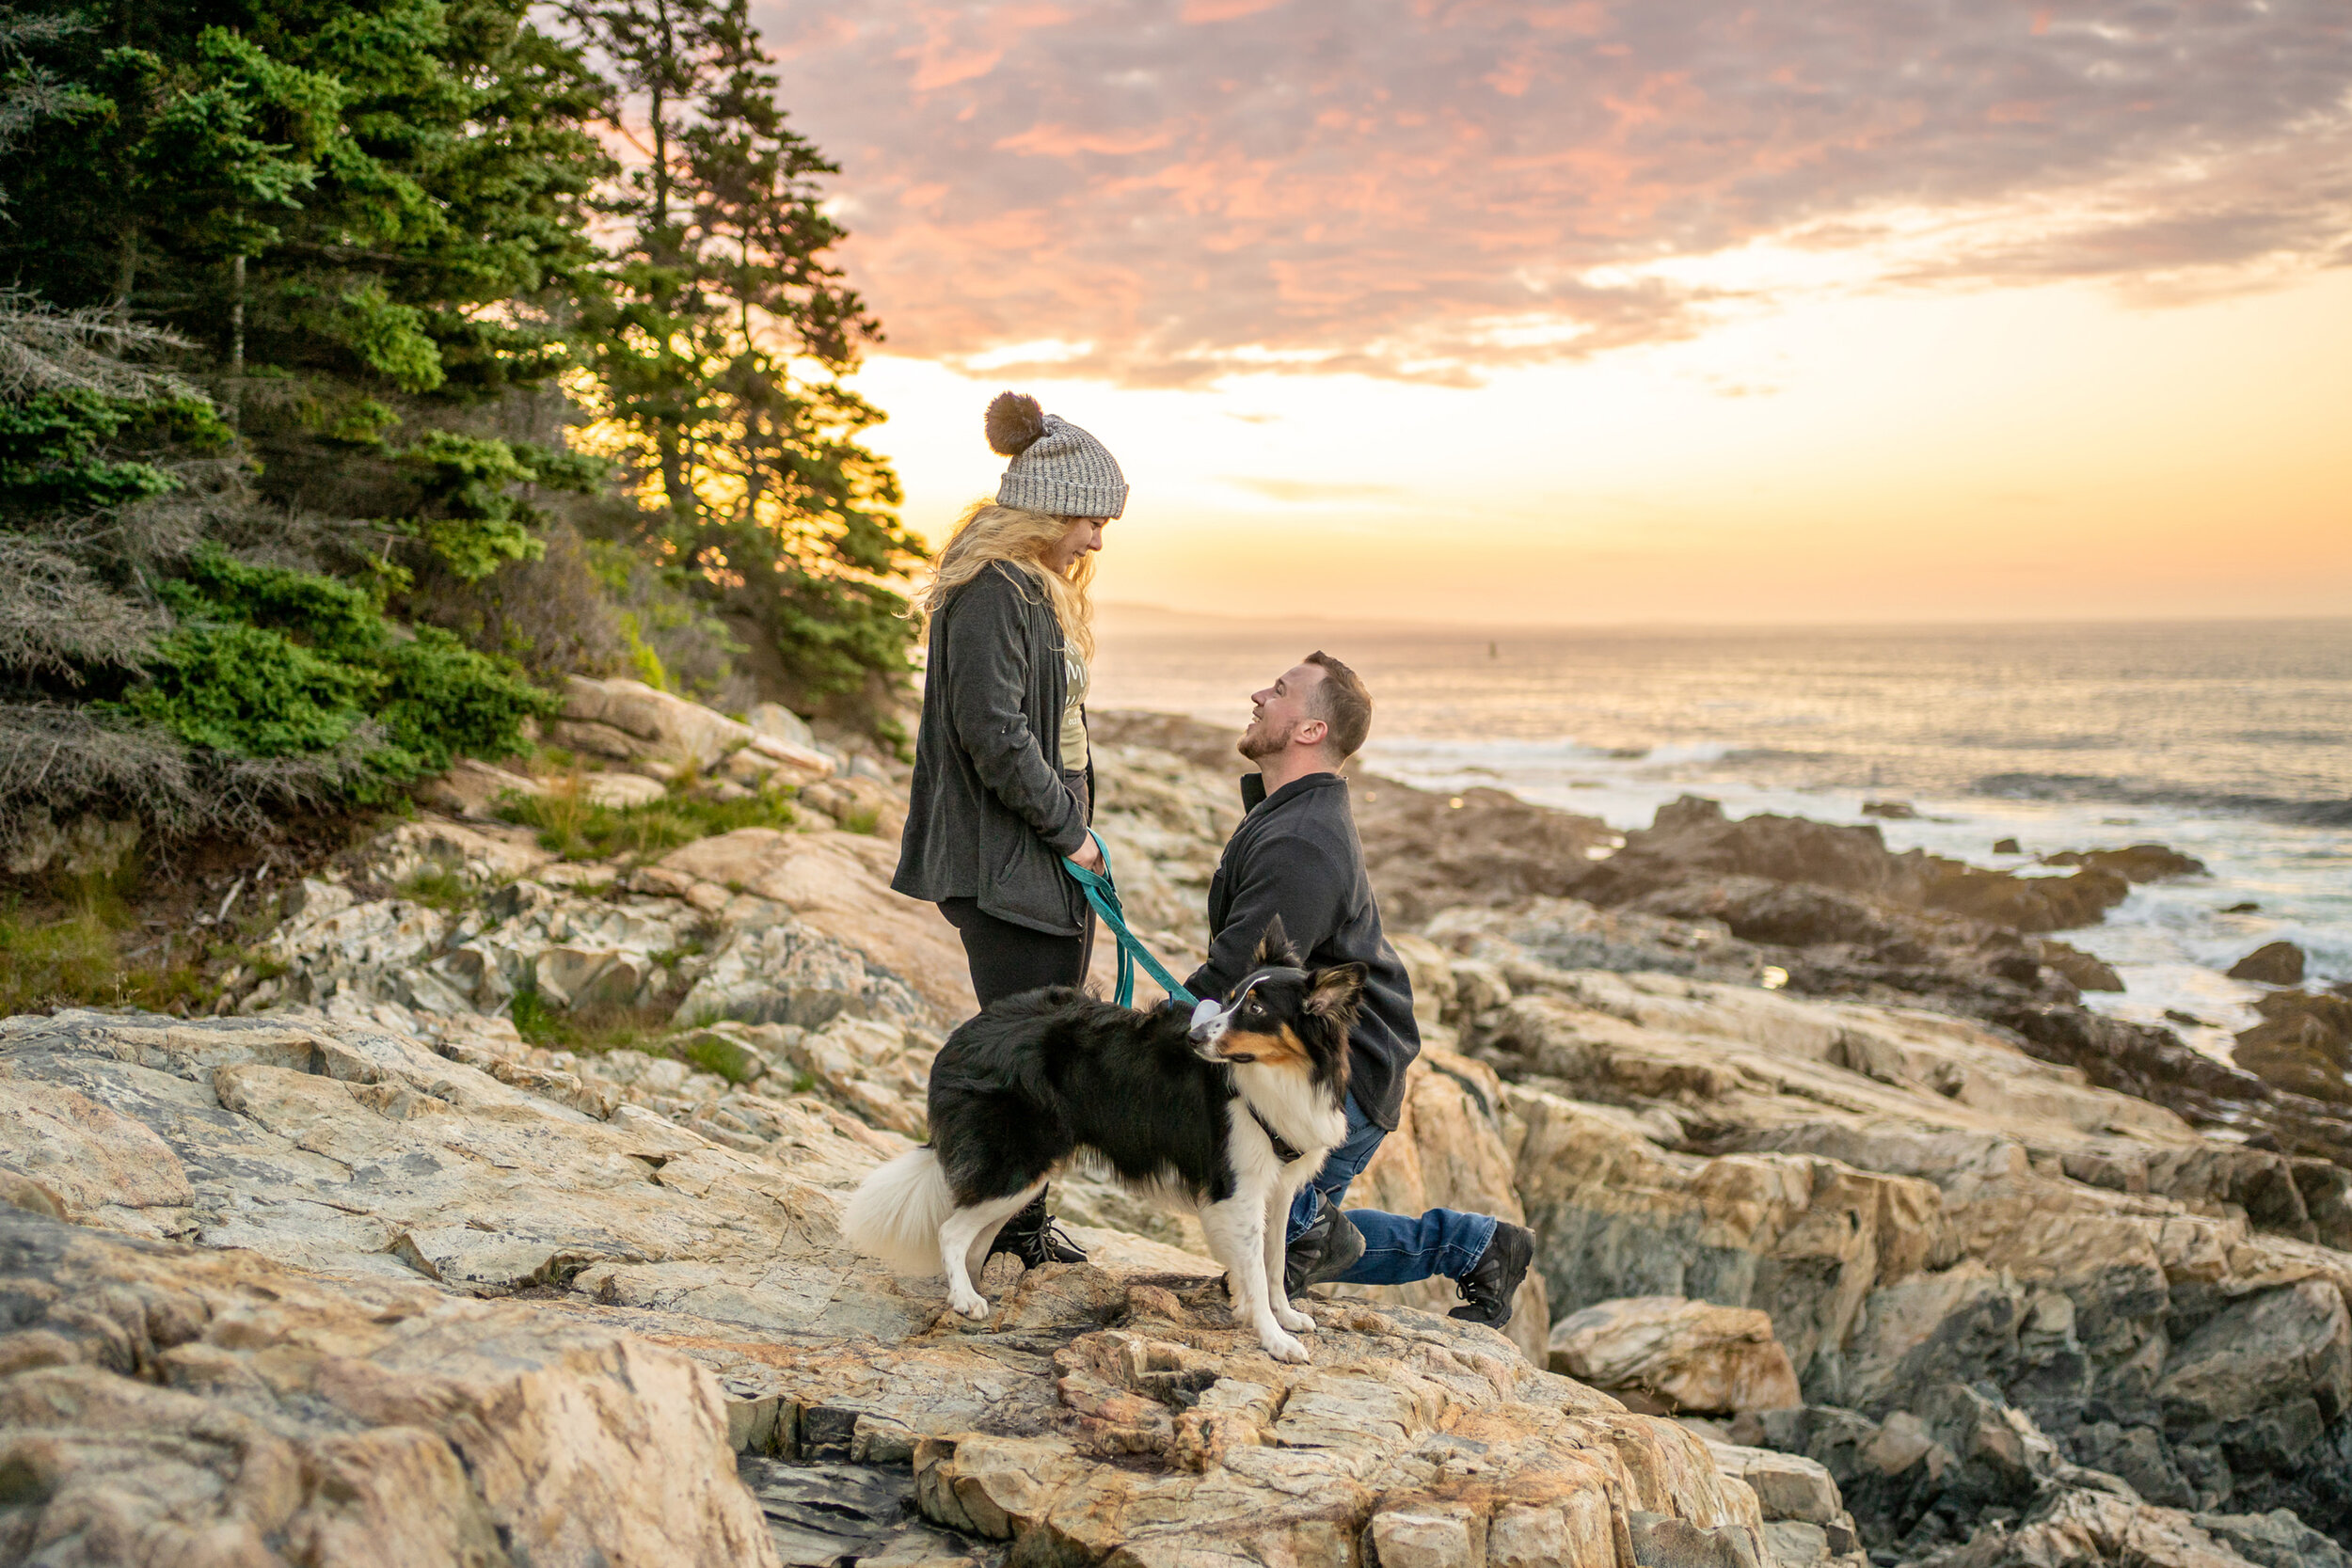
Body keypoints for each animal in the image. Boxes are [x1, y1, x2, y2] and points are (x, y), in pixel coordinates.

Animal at [847, 921, 1364, 1363]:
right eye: (1231, 1000)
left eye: (1255, 1009)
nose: (1194, 1038)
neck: (1278, 1074)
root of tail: (967, 1031)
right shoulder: (1236, 1189)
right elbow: (1255, 1268)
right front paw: (1274, 1340)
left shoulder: (1279, 1187)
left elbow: (1275, 1261)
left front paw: (1287, 1317)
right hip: (1022, 1161)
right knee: (952, 1230)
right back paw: (964, 1300)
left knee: (976, 1236)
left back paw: (973, 1291)